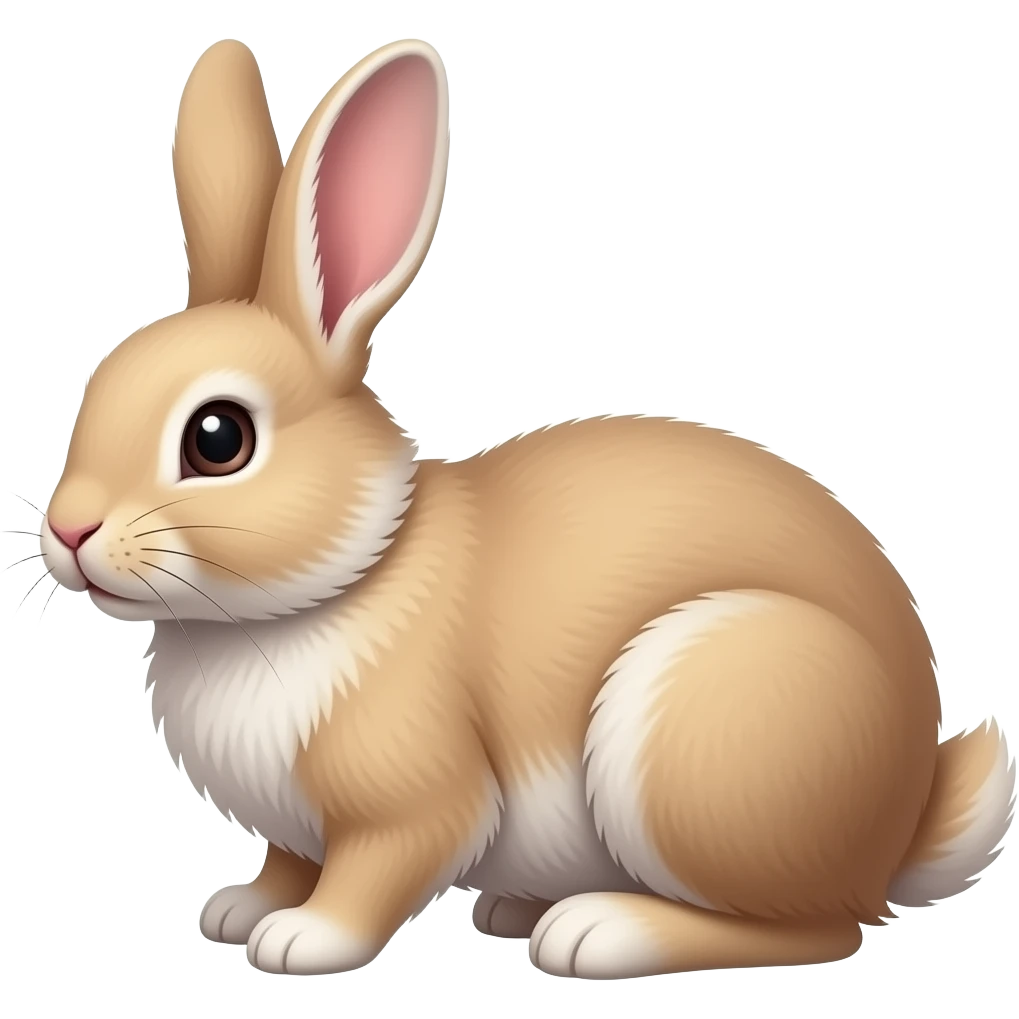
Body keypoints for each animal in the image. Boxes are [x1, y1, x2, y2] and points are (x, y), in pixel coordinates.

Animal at [36, 37, 1015, 980]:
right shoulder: (296, 827)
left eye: (217, 438)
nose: (69, 529)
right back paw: (516, 909)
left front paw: (301, 939)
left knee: (817, 927)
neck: (342, 577)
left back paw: (597, 932)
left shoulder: (416, 798)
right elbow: (287, 858)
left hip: (699, 728)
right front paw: (239, 909)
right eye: (93, 386)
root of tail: (901, 820)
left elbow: (375, 871)